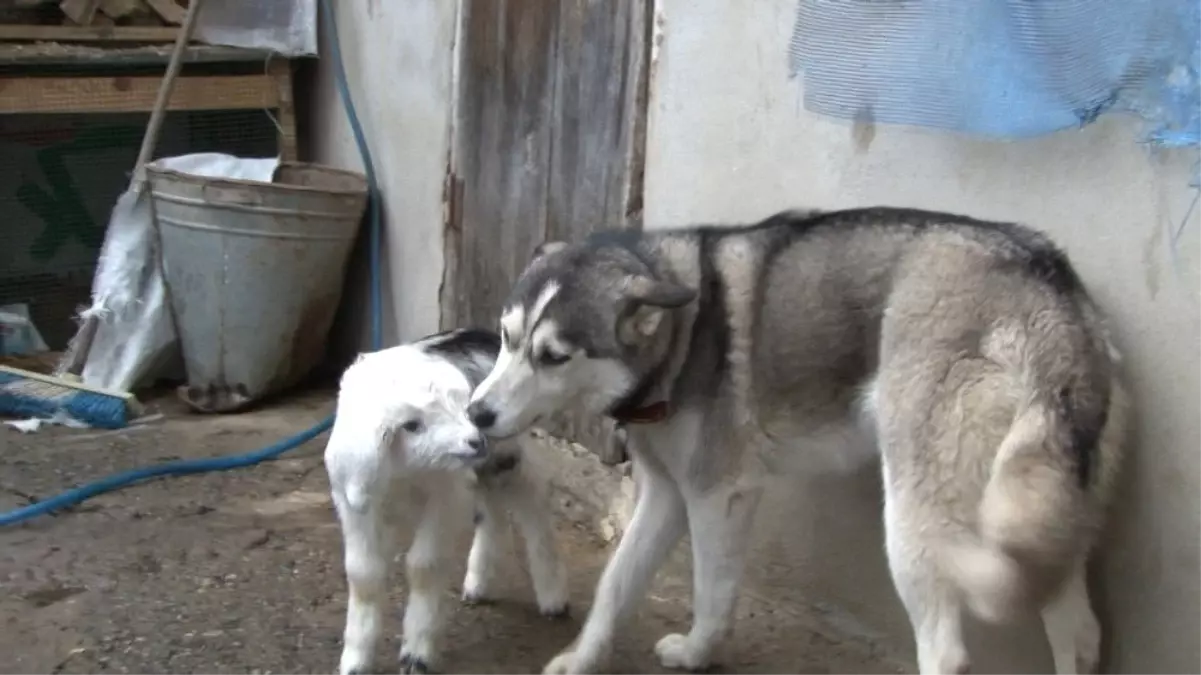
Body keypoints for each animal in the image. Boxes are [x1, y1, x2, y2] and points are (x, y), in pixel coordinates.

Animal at [324, 329, 566, 672]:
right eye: (411, 425)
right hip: (484, 467)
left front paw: (417, 654)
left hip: (507, 454)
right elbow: (363, 575)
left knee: (533, 496)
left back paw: (552, 596)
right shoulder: (354, 504)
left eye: (459, 406)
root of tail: (486, 334)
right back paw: (478, 583)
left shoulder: (446, 496)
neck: (404, 471)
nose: (475, 440)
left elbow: (424, 566)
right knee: (492, 511)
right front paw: (356, 661)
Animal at [463, 206, 1128, 672]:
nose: (477, 413)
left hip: (915, 523)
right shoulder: (665, 497)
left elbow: (712, 594)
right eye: (506, 337)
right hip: (1037, 529)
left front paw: (698, 654)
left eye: (554, 357)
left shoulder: (717, 498)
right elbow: (615, 587)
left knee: (947, 654)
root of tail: (1048, 291)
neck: (683, 335)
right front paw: (581, 659)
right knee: (1079, 635)